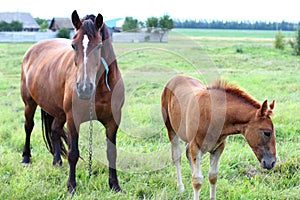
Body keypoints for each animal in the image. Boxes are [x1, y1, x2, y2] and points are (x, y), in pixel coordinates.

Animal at [19, 10, 123, 193]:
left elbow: (112, 153)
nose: (84, 88)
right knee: (28, 126)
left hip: (59, 113)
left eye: (99, 46)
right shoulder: (73, 119)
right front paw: (71, 187)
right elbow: (73, 153)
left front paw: (115, 185)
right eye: (73, 45)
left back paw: (57, 162)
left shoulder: (112, 122)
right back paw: (26, 158)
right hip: (29, 103)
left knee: (55, 131)